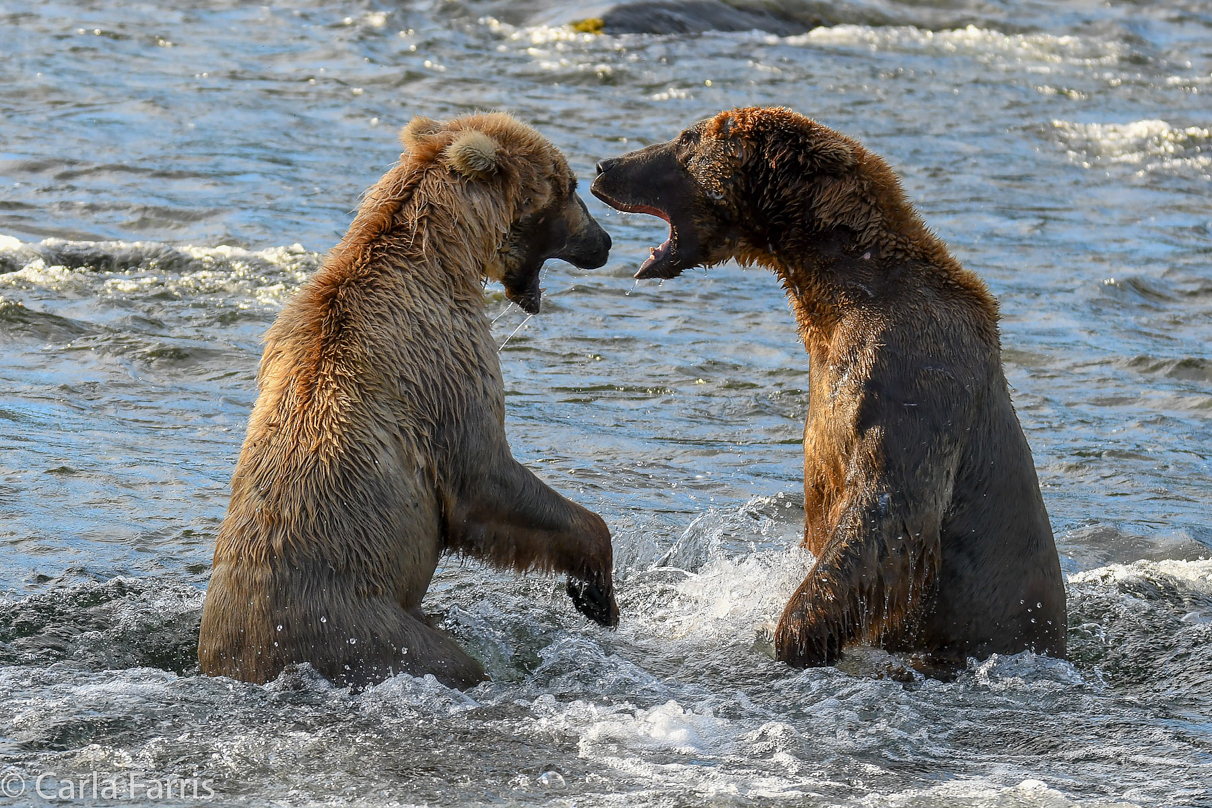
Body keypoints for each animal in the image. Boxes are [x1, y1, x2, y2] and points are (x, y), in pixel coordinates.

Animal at [199, 112, 620, 688]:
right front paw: (597, 591)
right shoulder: (444, 366)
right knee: (448, 657)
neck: (447, 257)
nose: (604, 241)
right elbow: (485, 477)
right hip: (373, 636)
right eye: (572, 185)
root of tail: (245, 664)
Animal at [591, 109, 1066, 678]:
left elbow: (888, 513)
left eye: (686, 138)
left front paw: (795, 635)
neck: (837, 293)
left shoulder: (907, 377)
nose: (604, 165)